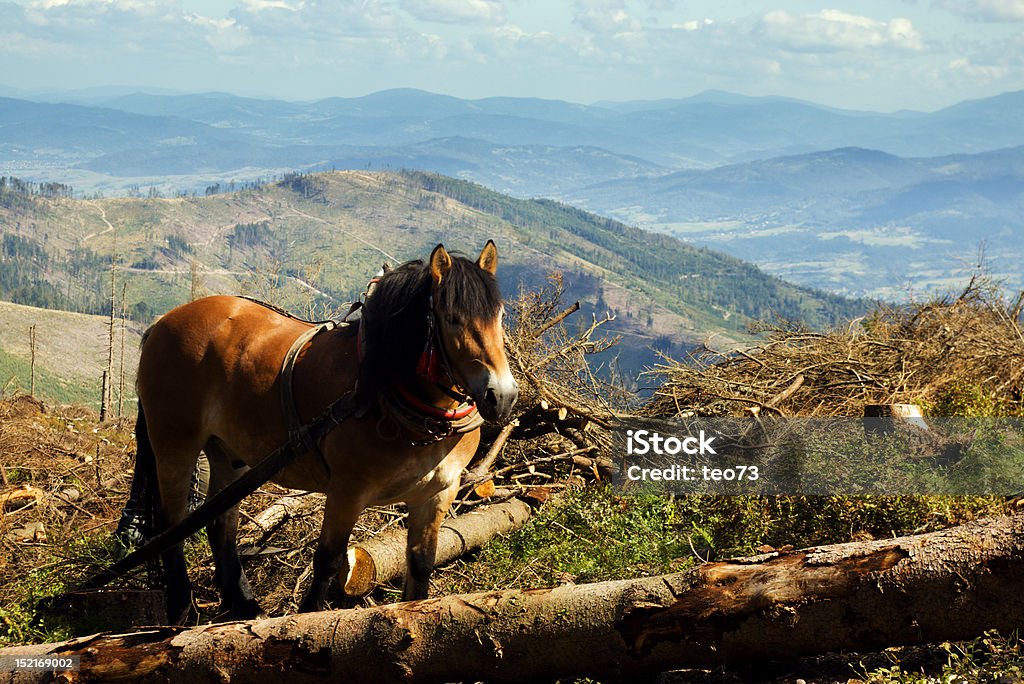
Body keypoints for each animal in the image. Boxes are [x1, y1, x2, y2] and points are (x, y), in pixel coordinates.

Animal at [134, 240, 520, 618]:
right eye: (452, 319)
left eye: (500, 316)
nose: (501, 396)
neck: (384, 388)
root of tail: (161, 324)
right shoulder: (348, 489)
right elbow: (327, 561)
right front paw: (307, 618)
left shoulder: (439, 491)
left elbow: (421, 561)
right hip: (174, 443)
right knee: (171, 523)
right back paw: (181, 607)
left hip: (229, 453)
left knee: (220, 523)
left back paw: (243, 604)